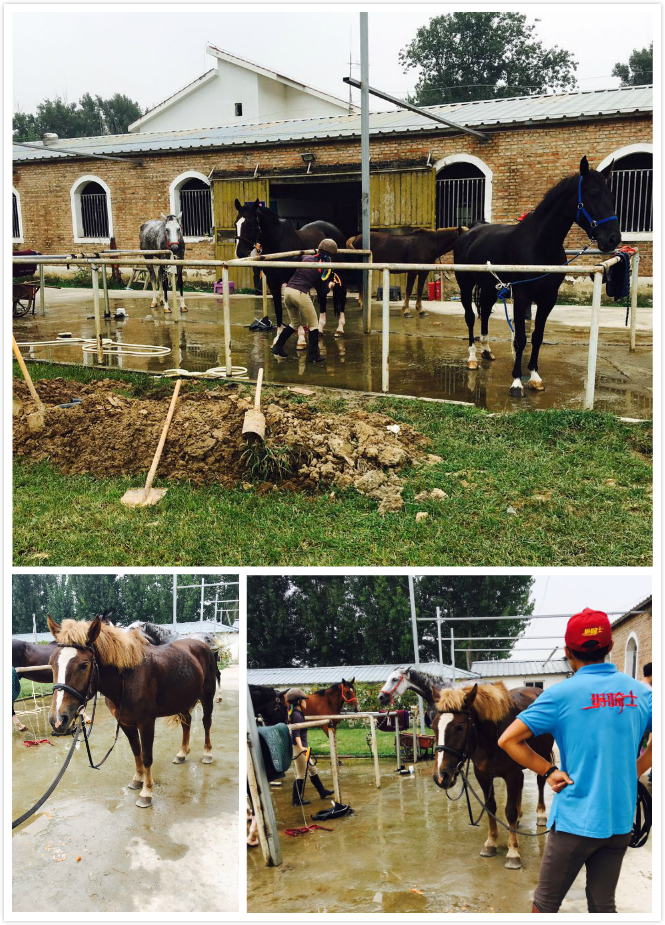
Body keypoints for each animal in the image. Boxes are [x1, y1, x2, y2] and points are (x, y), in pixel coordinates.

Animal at [46, 612, 218, 808]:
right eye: (51, 663)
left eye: (84, 664)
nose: (57, 719)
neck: (126, 679)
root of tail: (203, 645)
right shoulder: (126, 723)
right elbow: (136, 751)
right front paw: (137, 780)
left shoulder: (146, 723)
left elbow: (146, 755)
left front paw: (146, 792)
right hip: (182, 700)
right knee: (187, 722)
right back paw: (182, 754)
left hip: (207, 697)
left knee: (206, 722)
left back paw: (207, 754)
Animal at [428, 680, 552, 868]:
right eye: (434, 726)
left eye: (460, 727)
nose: (441, 776)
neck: (493, 738)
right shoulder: (483, 776)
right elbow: (490, 806)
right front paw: (491, 843)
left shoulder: (512, 774)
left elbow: (509, 811)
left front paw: (513, 852)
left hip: (543, 756)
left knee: (540, 782)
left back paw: (541, 815)